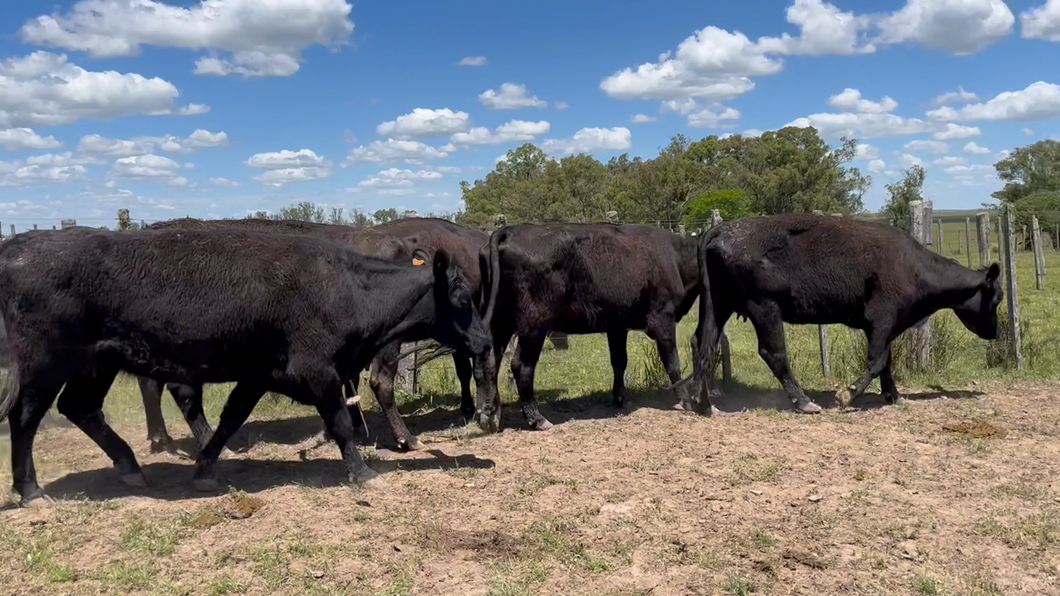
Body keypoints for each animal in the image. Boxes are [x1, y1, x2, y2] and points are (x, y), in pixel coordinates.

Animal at [476, 222, 699, 430]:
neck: (675, 258)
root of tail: (510, 230)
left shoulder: (617, 326)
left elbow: (619, 361)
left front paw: (620, 398)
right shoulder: (663, 320)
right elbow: (673, 364)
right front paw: (685, 401)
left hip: (502, 322)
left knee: (491, 362)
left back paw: (491, 417)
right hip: (533, 325)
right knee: (521, 366)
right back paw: (537, 419)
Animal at [691, 213, 996, 413]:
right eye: (996, 298)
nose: (995, 332)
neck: (912, 266)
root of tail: (722, 230)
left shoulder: (882, 329)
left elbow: (886, 362)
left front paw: (894, 395)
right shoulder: (881, 323)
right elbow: (876, 361)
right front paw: (845, 396)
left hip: (718, 305)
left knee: (703, 343)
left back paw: (702, 403)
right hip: (765, 308)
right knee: (773, 353)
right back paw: (805, 402)